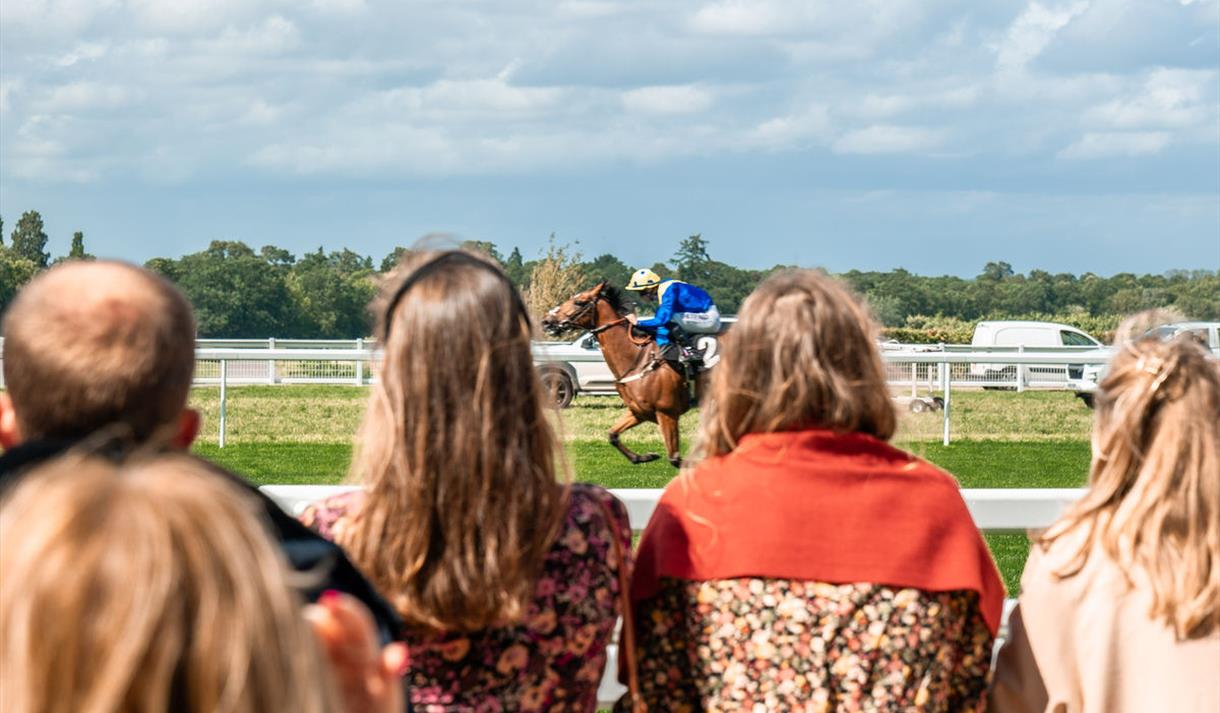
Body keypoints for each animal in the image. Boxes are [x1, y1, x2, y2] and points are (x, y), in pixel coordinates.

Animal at [544, 280, 697, 471]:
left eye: (579, 302)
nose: (547, 321)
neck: (638, 359)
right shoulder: (639, 411)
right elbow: (613, 435)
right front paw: (645, 456)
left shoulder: (667, 413)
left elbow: (676, 459)